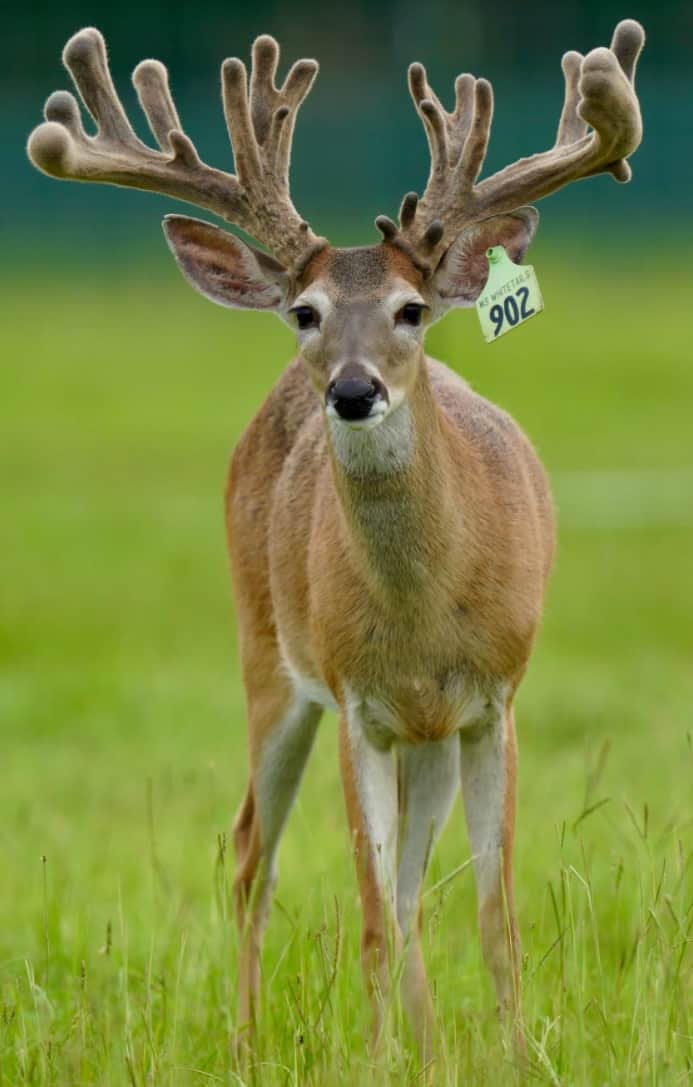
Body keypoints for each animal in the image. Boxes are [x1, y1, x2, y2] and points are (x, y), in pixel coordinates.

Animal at [28, 19, 644, 1059]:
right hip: (268, 658)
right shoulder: (357, 698)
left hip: (426, 738)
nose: (352, 390)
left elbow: (492, 914)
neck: (426, 613)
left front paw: (509, 1052)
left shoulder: (496, 696)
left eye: (411, 309)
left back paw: (430, 1044)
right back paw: (245, 1042)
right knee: (253, 852)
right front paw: (387, 1057)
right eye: (305, 312)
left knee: (410, 889)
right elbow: (367, 913)